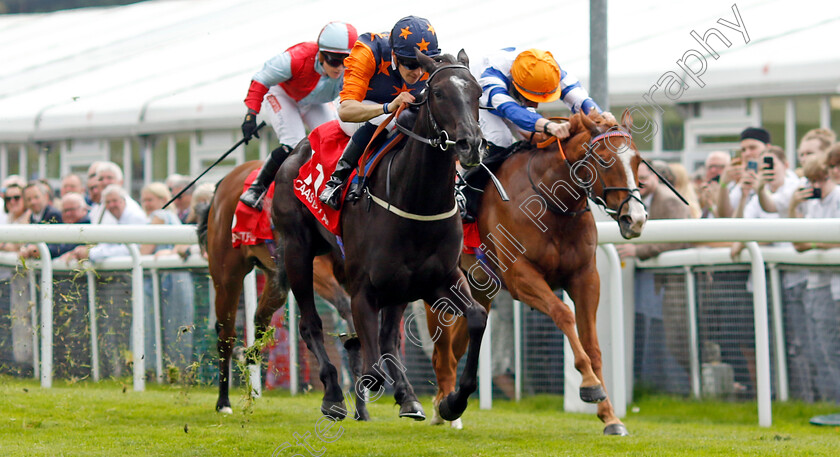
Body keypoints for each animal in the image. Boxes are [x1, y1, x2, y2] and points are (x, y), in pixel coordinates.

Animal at [199, 160, 370, 420]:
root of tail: (224, 183)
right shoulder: (311, 264)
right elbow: (344, 306)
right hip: (227, 274)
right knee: (226, 335)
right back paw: (223, 401)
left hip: (274, 280)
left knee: (259, 319)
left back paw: (246, 355)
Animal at [272, 50, 488, 420]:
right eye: (438, 93)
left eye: (477, 92)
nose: (470, 144)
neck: (417, 202)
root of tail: (298, 148)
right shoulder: (364, 290)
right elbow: (371, 368)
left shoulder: (439, 279)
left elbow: (476, 317)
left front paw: (452, 402)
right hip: (297, 251)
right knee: (310, 324)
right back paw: (333, 394)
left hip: (399, 285)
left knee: (387, 337)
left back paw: (407, 396)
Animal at [426, 110, 648, 434]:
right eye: (604, 159)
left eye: (638, 160)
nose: (637, 219)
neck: (553, 204)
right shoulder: (522, 277)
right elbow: (564, 315)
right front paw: (590, 384)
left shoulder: (585, 277)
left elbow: (593, 345)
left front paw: (610, 416)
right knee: (441, 349)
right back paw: (443, 405)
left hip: (481, 287)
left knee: (457, 345)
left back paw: (448, 404)